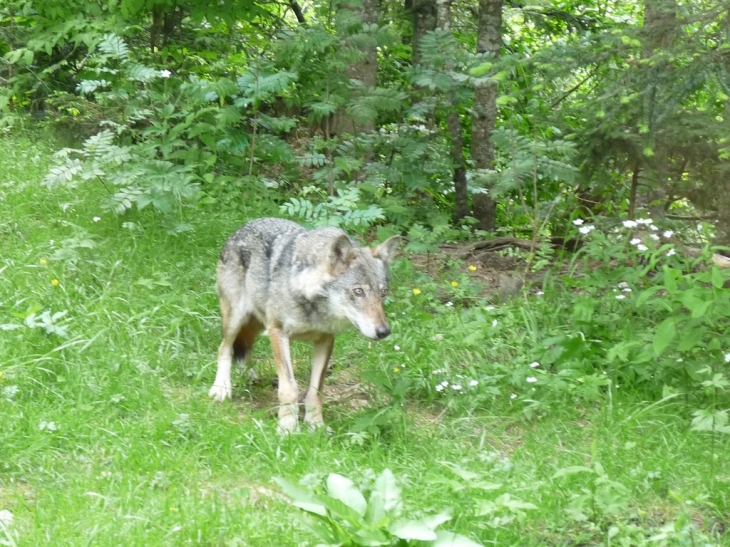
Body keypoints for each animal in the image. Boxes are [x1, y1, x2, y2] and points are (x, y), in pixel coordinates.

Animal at [206, 218, 398, 432]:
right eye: (358, 291)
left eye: (383, 292)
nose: (384, 331)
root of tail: (241, 228)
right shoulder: (277, 332)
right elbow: (289, 388)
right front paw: (288, 428)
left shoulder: (326, 341)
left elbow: (316, 391)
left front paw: (316, 426)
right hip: (235, 319)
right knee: (225, 348)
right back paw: (221, 388)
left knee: (244, 350)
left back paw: (249, 376)